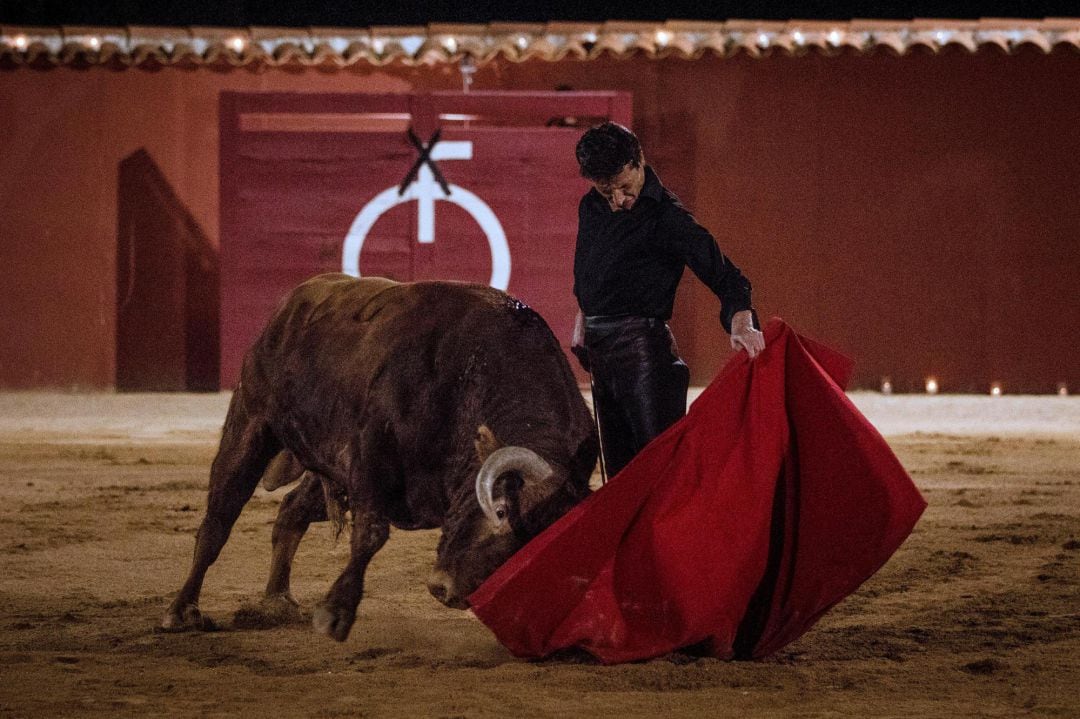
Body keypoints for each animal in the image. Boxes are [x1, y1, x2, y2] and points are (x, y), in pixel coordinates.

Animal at [163, 274, 596, 639]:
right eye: (501, 511)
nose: (447, 591)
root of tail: (292, 302)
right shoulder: (369, 455)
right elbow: (371, 534)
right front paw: (336, 613)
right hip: (251, 424)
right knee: (218, 519)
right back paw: (183, 611)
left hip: (328, 469)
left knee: (290, 510)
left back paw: (277, 601)